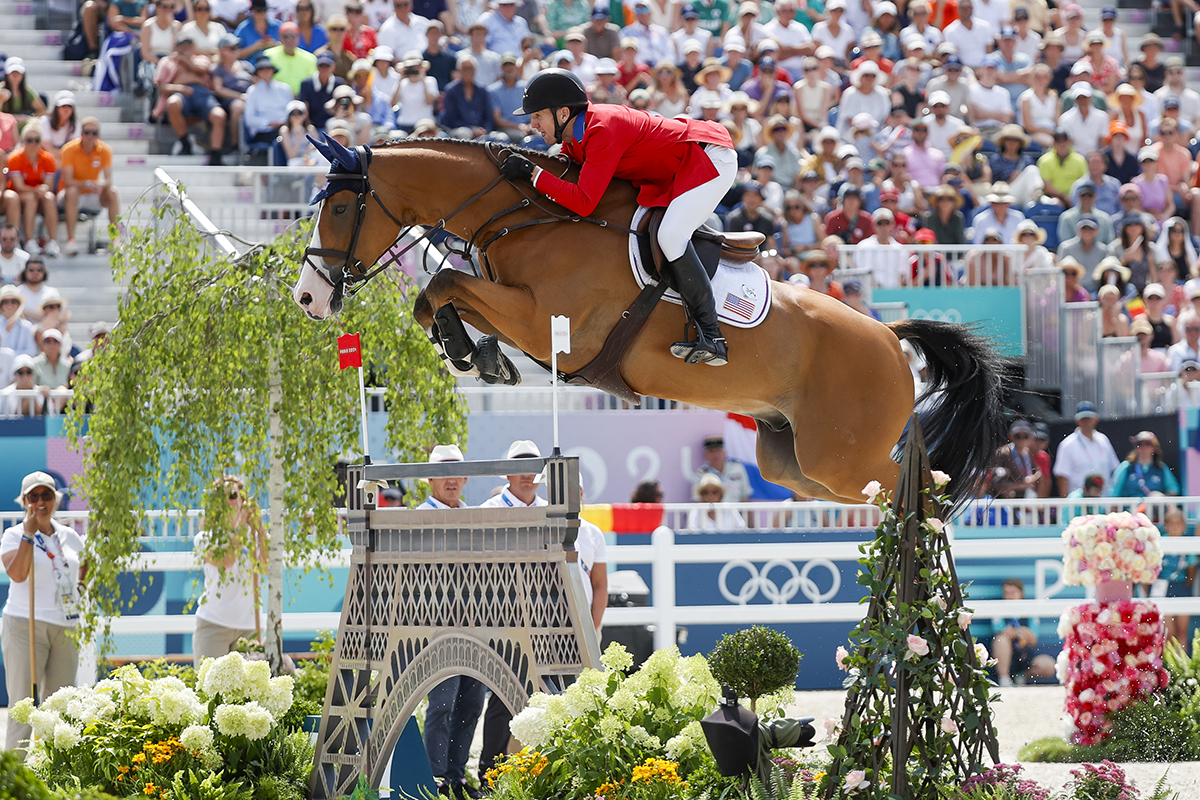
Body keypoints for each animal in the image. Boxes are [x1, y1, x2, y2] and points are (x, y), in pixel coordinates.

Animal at [295, 133, 1008, 503]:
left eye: (339, 209)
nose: (308, 299)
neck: (530, 216)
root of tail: (888, 334)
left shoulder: (546, 318)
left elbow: (442, 283)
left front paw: (475, 354)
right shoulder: (516, 307)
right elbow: (438, 295)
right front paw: (480, 357)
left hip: (842, 457)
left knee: (926, 486)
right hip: (799, 464)